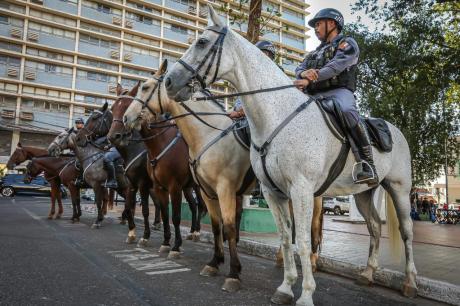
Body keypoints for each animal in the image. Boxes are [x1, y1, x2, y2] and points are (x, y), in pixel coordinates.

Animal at [162, 5, 416, 304]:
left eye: (201, 42)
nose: (169, 81)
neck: (275, 115)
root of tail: (394, 130)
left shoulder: (301, 189)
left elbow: (302, 241)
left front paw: (305, 294)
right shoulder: (273, 193)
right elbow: (285, 238)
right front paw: (285, 287)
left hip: (399, 189)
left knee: (406, 231)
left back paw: (410, 282)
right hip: (364, 192)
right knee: (375, 227)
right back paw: (367, 273)